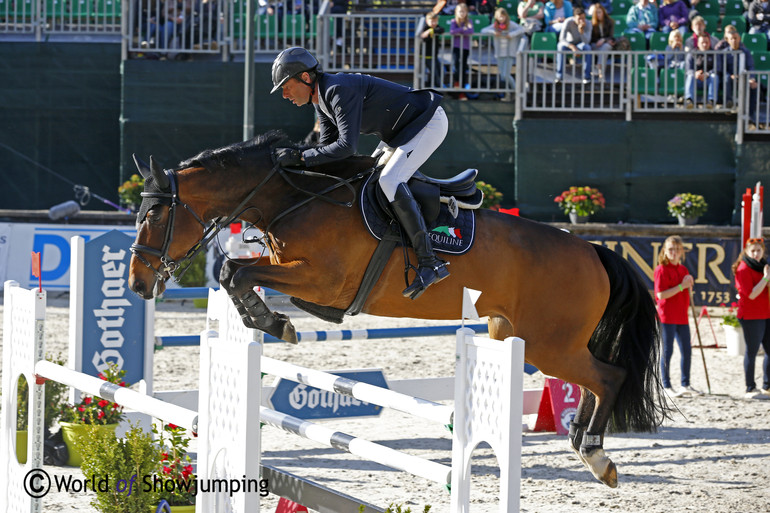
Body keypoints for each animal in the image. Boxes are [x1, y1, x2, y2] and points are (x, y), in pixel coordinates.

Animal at [127, 130, 664, 486]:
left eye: (155, 213)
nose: (137, 283)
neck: (295, 197)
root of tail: (592, 250)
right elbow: (233, 273)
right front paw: (272, 320)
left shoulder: (323, 282)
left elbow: (235, 272)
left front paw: (272, 321)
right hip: (515, 335)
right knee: (592, 381)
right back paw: (580, 442)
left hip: (549, 343)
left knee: (609, 377)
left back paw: (596, 455)